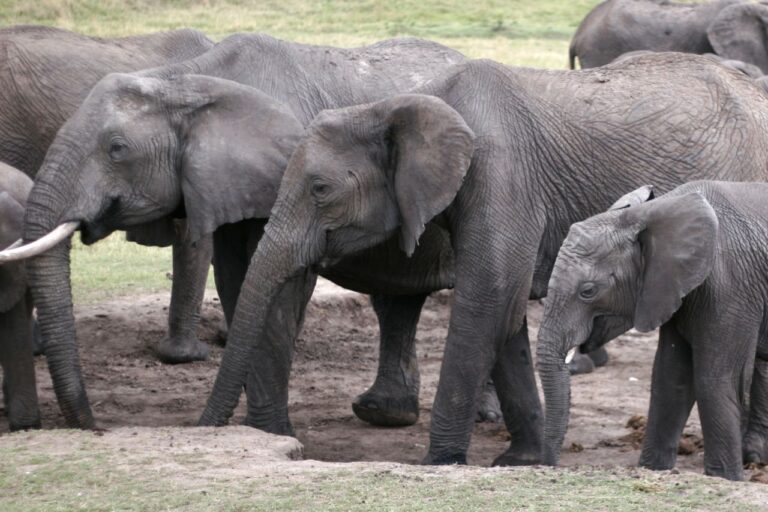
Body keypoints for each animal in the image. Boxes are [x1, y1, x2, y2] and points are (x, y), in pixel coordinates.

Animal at [536, 183, 768, 480]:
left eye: (588, 291)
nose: (549, 465)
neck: (650, 213)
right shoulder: (671, 288)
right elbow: (670, 379)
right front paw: (653, 469)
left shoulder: (730, 287)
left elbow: (715, 380)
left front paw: (725, 478)